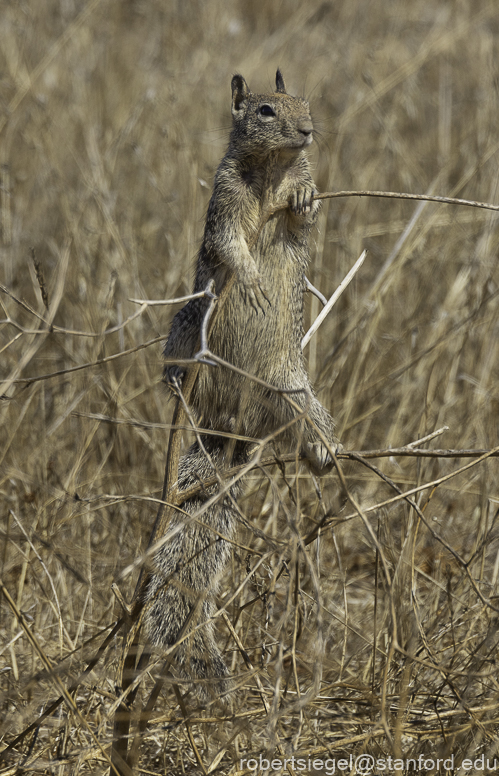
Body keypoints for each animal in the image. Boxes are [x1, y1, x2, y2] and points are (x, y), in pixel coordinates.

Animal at [143, 69, 338, 704]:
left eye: (305, 103)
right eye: (265, 110)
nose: (307, 131)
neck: (271, 170)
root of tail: (230, 428)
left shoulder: (307, 187)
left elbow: (307, 218)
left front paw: (298, 207)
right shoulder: (223, 203)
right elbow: (229, 243)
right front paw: (250, 277)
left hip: (290, 390)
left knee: (305, 425)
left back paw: (323, 450)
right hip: (187, 324)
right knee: (178, 359)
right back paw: (176, 380)